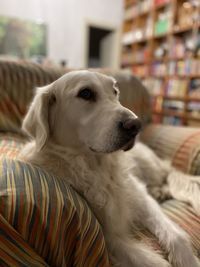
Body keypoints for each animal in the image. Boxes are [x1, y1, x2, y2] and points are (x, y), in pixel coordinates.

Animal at [19, 70, 200, 267]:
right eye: (86, 93)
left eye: (115, 92)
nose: (135, 125)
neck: (97, 168)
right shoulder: (107, 237)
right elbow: (150, 261)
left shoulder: (139, 196)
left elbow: (176, 235)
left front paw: (188, 259)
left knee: (167, 175)